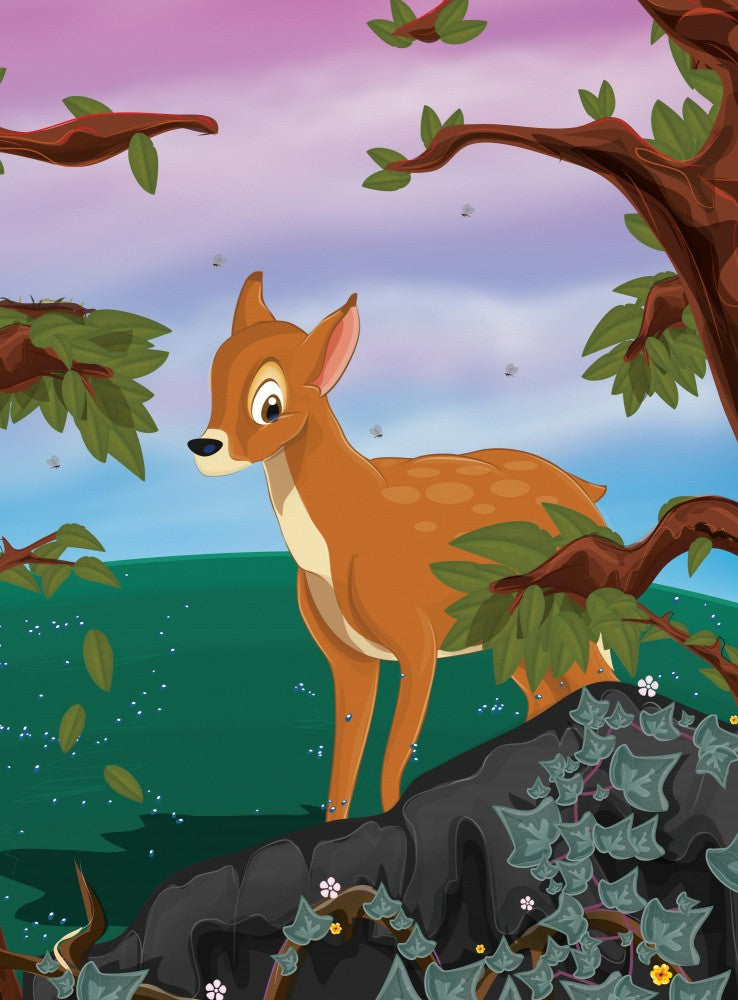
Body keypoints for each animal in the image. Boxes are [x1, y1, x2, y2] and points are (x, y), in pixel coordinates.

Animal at [188, 273, 616, 821]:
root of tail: (586, 492)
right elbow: (345, 754)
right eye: (212, 379)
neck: (345, 534)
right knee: (550, 690)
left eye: (270, 405)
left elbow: (396, 751)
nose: (204, 448)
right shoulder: (346, 657)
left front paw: (394, 817)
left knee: (595, 675)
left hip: (569, 611)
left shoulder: (418, 641)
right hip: (515, 633)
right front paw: (338, 825)